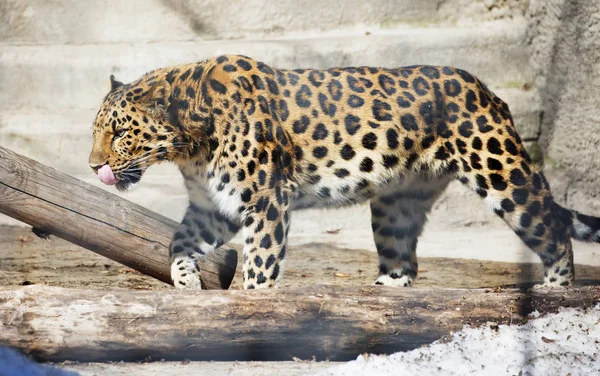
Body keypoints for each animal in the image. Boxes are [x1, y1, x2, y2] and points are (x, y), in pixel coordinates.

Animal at [89, 54, 600, 290]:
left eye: (119, 133)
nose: (94, 166)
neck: (189, 146)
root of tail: (489, 91)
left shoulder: (265, 200)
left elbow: (260, 263)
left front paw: (252, 302)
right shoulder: (212, 207)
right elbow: (178, 243)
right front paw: (186, 280)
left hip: (500, 171)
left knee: (552, 227)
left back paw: (557, 290)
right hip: (397, 204)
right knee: (404, 261)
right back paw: (383, 294)